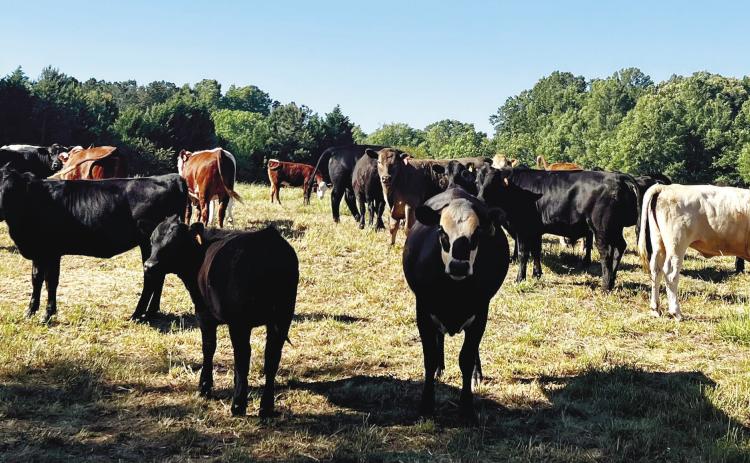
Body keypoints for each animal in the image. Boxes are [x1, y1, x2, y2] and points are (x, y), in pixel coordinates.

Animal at [0, 166, 188, 322]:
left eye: (9, 190)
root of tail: (172, 177)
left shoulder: (52, 251)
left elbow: (50, 281)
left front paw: (47, 314)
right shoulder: (39, 251)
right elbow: (36, 279)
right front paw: (30, 311)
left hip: (149, 244)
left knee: (151, 278)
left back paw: (137, 314)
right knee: (158, 276)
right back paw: (151, 312)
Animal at [143, 216, 298, 417]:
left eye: (174, 242)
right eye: (152, 240)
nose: (149, 265)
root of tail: (267, 240)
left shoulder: (203, 313)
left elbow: (208, 347)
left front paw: (204, 386)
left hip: (241, 323)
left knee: (243, 356)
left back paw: (238, 405)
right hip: (282, 317)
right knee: (271, 357)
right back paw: (266, 407)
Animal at [403, 187, 509, 421]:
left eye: (476, 234)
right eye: (442, 232)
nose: (459, 266)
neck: (454, 294)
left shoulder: (480, 314)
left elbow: (466, 359)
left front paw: (467, 409)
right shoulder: (423, 313)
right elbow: (430, 358)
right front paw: (426, 406)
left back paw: (477, 374)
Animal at [479, 167, 640, 291]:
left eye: (494, 184)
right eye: (477, 182)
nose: (479, 200)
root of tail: (618, 177)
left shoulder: (523, 229)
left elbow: (523, 254)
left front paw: (520, 279)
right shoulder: (535, 230)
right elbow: (536, 251)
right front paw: (537, 274)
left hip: (601, 228)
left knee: (606, 253)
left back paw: (605, 286)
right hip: (615, 228)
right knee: (620, 247)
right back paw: (612, 281)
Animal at [638, 184, 750, 320]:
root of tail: (665, 187)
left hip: (659, 242)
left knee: (656, 270)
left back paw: (655, 309)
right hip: (677, 244)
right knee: (670, 273)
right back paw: (676, 312)